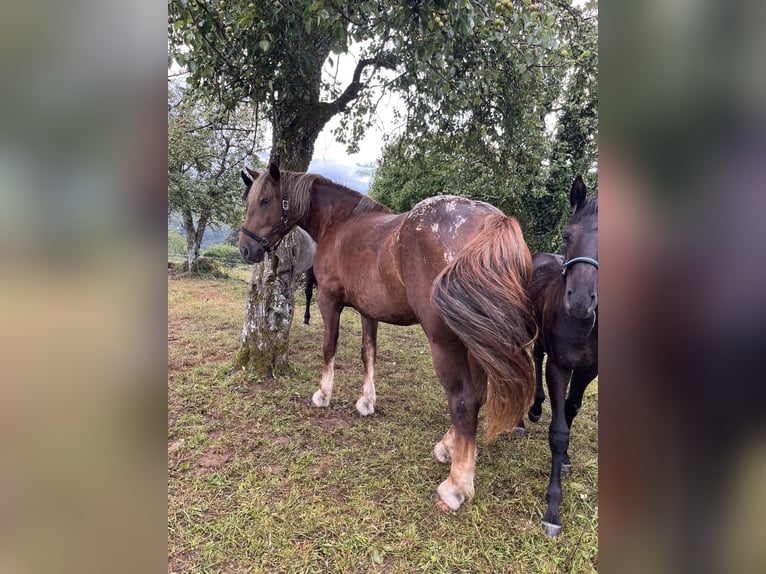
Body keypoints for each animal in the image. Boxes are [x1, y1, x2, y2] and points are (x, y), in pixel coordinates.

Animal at [238, 163, 537, 511]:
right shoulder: (369, 311)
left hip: (446, 342)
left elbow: (329, 348)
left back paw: (456, 485)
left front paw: (323, 394)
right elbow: (368, 353)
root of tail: (493, 222)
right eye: (250, 200)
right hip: (476, 342)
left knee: (463, 398)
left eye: (265, 201)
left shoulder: (328, 301)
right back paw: (448, 448)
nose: (245, 248)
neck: (340, 223)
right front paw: (366, 401)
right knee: (478, 394)